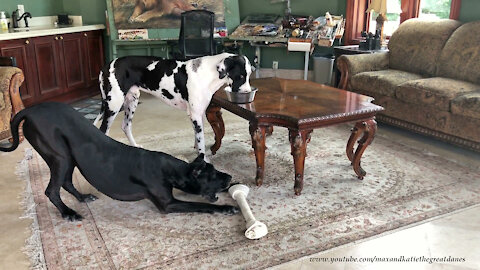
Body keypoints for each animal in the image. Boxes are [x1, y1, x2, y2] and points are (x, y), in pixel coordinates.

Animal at [0, 102, 239, 220]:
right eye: (213, 175)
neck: (169, 169)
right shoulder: (168, 204)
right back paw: (68, 213)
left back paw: (83, 197)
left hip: (68, 157)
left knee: (66, 182)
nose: (229, 177)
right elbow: (200, 205)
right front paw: (227, 208)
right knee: (52, 190)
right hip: (60, 156)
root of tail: (29, 111)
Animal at [91, 52, 253, 160]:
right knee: (103, 131)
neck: (207, 73)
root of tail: (107, 65)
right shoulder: (196, 115)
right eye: (240, 76)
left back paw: (135, 147)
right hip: (113, 105)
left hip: (131, 101)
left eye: (249, 75)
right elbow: (201, 142)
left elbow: (198, 139)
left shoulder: (198, 114)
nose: (247, 93)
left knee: (125, 126)